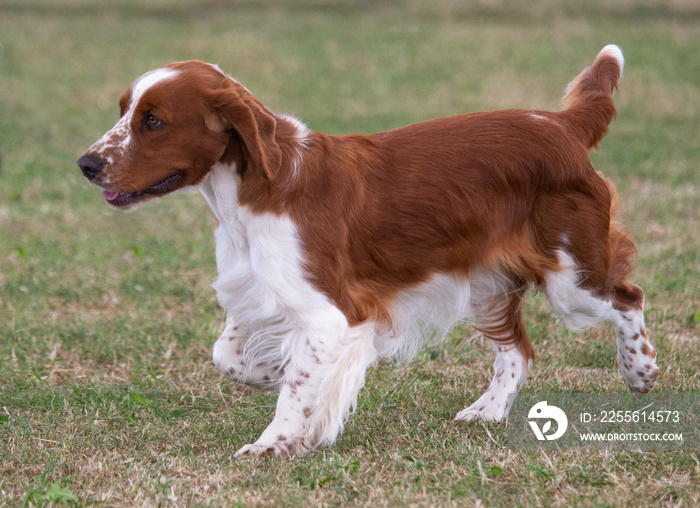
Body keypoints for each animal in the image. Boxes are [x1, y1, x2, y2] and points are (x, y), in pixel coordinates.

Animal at [78, 46, 656, 456]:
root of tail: (560, 125)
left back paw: (641, 371)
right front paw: (278, 380)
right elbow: (231, 356)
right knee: (518, 349)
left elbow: (298, 383)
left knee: (627, 297)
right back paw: (488, 412)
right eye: (125, 110)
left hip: (571, 277)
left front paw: (274, 444)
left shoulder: (329, 310)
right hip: (489, 283)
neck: (252, 192)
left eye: (154, 120)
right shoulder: (258, 291)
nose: (86, 164)